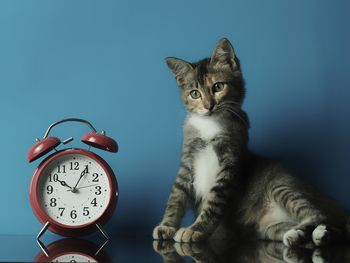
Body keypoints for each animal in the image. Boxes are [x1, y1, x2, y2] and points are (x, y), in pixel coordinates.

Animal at [154, 38, 350, 249]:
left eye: (218, 87)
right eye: (194, 93)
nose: (208, 106)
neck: (210, 125)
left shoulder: (230, 163)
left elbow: (213, 202)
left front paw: (195, 229)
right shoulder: (187, 160)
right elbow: (176, 196)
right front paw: (166, 226)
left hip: (282, 186)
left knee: (319, 215)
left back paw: (315, 232)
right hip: (269, 227)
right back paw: (305, 235)